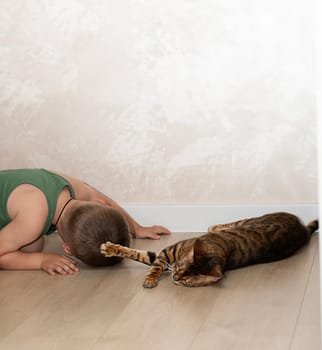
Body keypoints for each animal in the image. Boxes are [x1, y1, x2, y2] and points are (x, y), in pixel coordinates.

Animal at [101, 212, 320, 288]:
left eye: (187, 280)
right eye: (180, 267)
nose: (174, 277)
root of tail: (302, 230)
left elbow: (148, 258)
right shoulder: (167, 252)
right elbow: (149, 261)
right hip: (251, 220)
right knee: (233, 222)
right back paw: (214, 226)